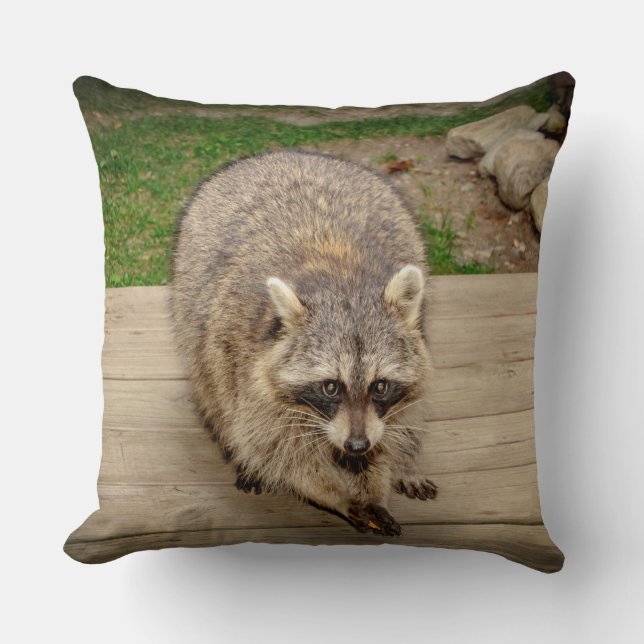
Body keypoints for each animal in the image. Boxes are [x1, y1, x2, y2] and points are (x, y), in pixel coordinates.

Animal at [171, 149, 437, 536]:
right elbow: (275, 448)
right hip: (194, 316)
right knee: (211, 390)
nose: (357, 444)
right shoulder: (240, 358)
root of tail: (285, 153)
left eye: (381, 386)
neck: (341, 277)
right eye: (330, 387)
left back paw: (407, 464)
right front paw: (334, 494)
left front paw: (377, 479)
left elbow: (393, 429)